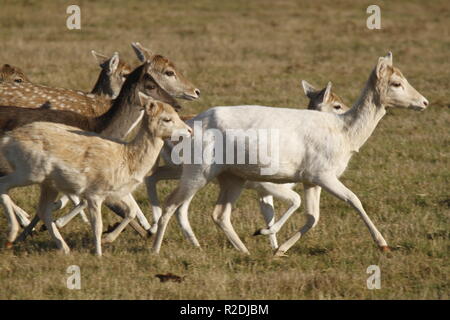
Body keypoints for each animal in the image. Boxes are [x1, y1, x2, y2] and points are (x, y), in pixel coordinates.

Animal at [152, 52, 428, 255]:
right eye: (396, 83)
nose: (424, 102)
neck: (345, 134)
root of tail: (189, 125)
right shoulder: (323, 174)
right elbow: (353, 199)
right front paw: (383, 244)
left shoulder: (310, 179)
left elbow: (313, 216)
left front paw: (279, 249)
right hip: (198, 171)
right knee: (170, 203)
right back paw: (155, 250)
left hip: (232, 177)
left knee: (219, 214)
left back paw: (245, 251)